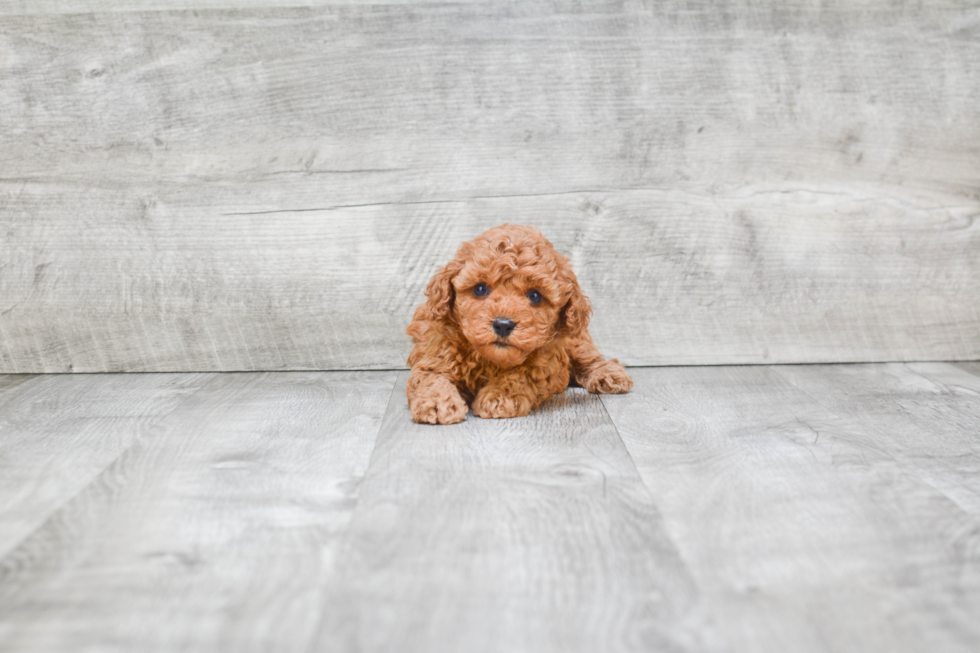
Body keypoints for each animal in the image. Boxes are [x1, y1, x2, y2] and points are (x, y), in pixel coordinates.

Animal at [402, 222, 632, 426]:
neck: (489, 359)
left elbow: (520, 375)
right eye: (480, 289)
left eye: (535, 295)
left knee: (589, 357)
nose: (503, 324)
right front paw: (437, 403)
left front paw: (498, 396)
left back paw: (609, 375)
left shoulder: (546, 362)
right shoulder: (435, 356)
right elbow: (431, 380)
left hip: (576, 339)